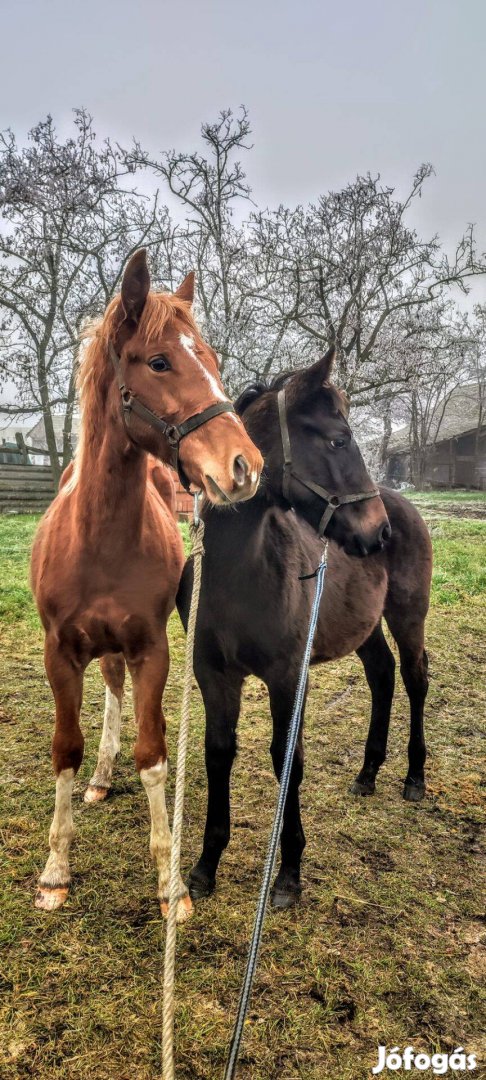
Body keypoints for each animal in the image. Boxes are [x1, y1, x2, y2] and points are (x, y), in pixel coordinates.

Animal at [30, 248, 262, 915]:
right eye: (159, 361)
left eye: (212, 359)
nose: (244, 466)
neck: (101, 539)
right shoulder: (59, 653)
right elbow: (66, 750)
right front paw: (55, 871)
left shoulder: (152, 649)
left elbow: (154, 755)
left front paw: (170, 883)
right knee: (107, 693)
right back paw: (101, 780)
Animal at [177, 354, 432, 911]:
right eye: (338, 440)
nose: (378, 532)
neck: (239, 572)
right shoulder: (213, 674)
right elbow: (218, 751)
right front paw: (206, 867)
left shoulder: (289, 676)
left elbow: (287, 757)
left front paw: (289, 872)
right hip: (363, 626)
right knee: (382, 675)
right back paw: (367, 774)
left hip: (408, 616)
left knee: (415, 678)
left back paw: (414, 778)